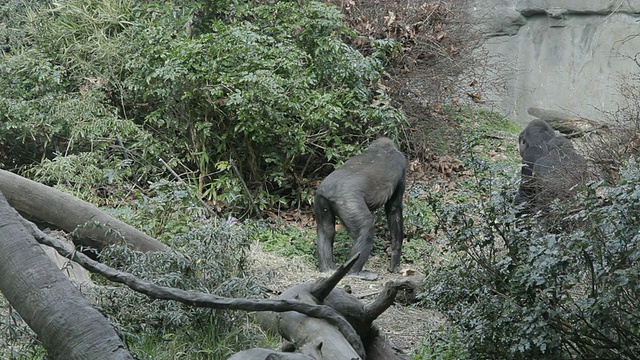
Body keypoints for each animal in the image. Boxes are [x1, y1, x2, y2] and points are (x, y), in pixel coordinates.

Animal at [314, 136, 404, 280]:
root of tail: (328, 190)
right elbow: (394, 209)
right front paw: (395, 260)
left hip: (321, 200)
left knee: (326, 230)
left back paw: (327, 268)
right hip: (348, 203)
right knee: (366, 227)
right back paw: (355, 272)